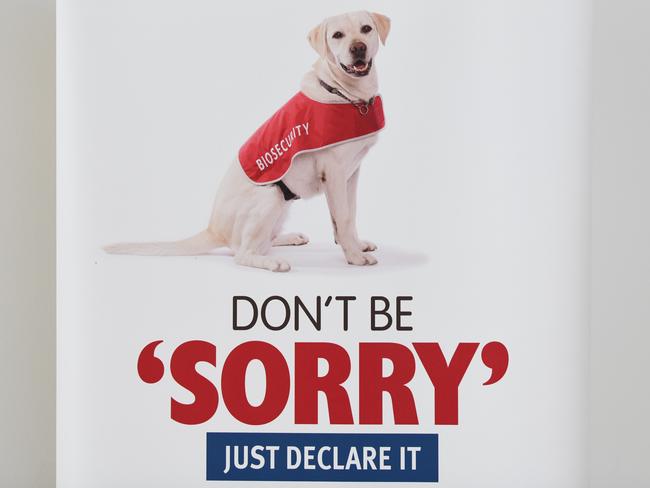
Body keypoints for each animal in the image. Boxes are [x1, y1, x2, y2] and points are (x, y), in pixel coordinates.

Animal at [105, 10, 390, 270]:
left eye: (366, 29)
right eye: (337, 35)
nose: (358, 48)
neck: (347, 96)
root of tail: (213, 228)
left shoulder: (351, 174)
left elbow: (350, 215)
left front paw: (356, 245)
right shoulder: (334, 173)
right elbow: (343, 218)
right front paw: (354, 256)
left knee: (254, 243)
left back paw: (288, 238)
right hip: (271, 195)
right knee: (242, 253)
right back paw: (272, 262)